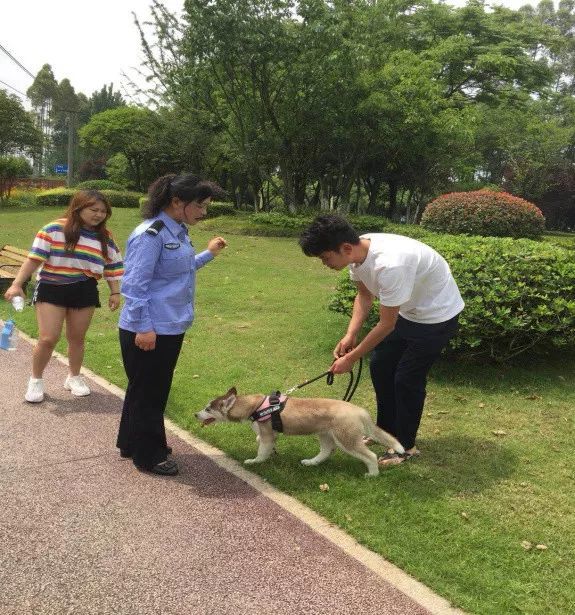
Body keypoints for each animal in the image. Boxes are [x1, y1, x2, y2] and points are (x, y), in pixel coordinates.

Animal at [197, 388, 404, 478]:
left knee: (370, 455)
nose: (195, 414)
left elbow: (261, 450)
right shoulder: (270, 435)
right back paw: (311, 462)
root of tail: (359, 410)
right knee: (325, 452)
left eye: (208, 409)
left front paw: (255, 462)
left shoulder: (267, 435)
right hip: (325, 434)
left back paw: (373, 474)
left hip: (347, 439)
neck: (255, 406)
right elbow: (263, 444)